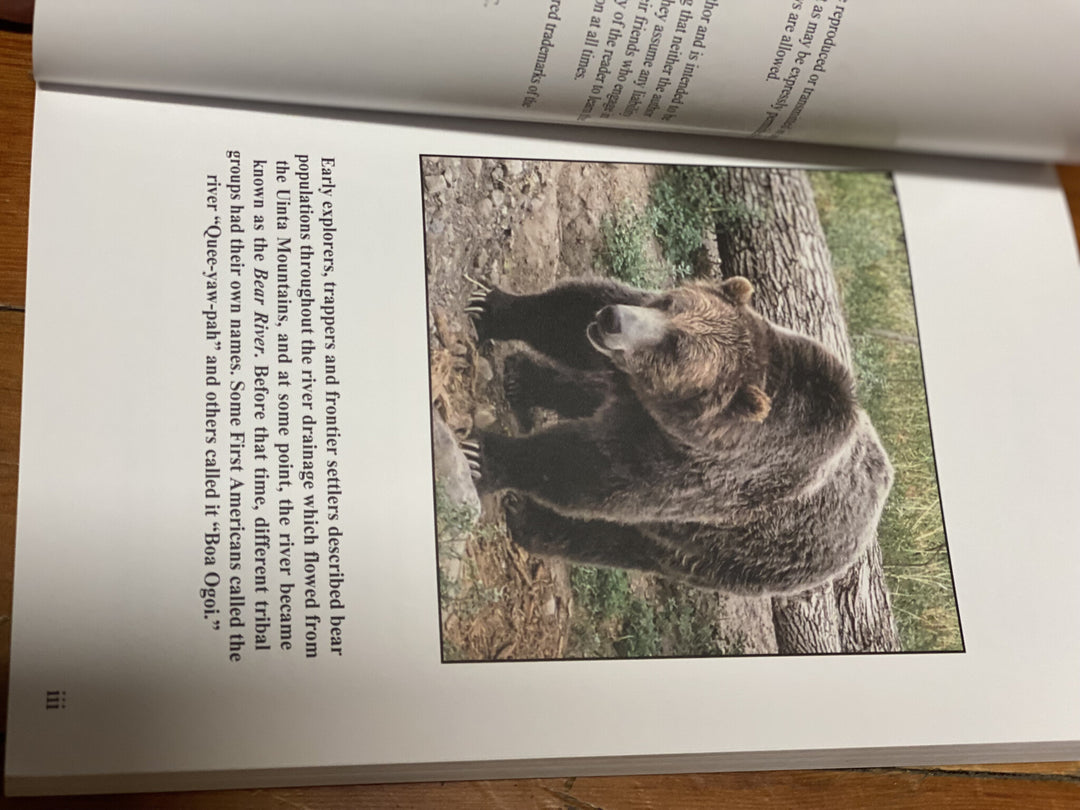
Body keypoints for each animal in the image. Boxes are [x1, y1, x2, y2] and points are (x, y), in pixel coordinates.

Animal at [461, 275, 893, 596]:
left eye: (676, 347)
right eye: (671, 303)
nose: (612, 320)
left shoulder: (701, 472)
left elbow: (595, 473)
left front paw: (485, 456)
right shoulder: (638, 380)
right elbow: (572, 311)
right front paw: (490, 308)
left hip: (734, 557)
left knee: (622, 542)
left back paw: (529, 519)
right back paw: (525, 379)